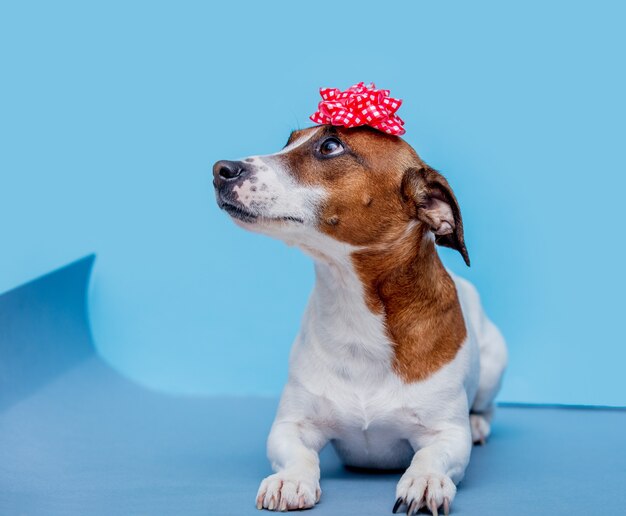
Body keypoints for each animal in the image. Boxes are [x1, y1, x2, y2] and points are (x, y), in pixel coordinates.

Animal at [212, 124, 504, 512]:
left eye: (331, 146)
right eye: (289, 140)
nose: (220, 169)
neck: (354, 309)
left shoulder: (447, 435)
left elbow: (432, 456)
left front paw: (425, 480)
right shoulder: (291, 426)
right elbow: (298, 453)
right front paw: (291, 478)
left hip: (495, 364)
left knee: (486, 409)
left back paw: (480, 426)